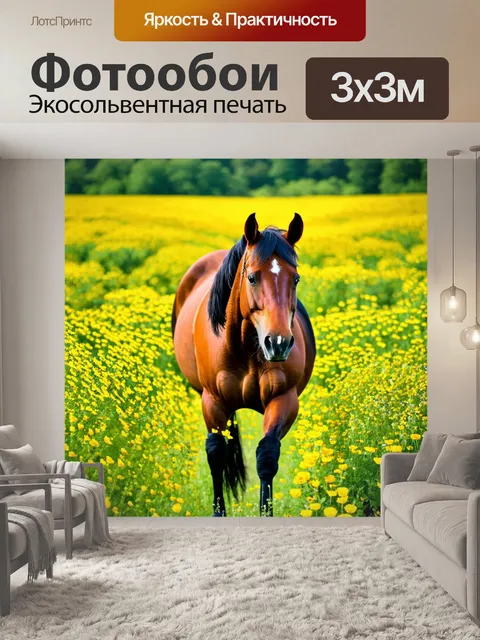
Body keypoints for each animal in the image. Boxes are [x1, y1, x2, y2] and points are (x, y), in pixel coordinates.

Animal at [172, 213, 316, 516]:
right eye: (251, 277)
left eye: (296, 278)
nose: (278, 343)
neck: (246, 350)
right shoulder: (213, 402)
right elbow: (216, 455)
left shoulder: (283, 399)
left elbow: (267, 457)